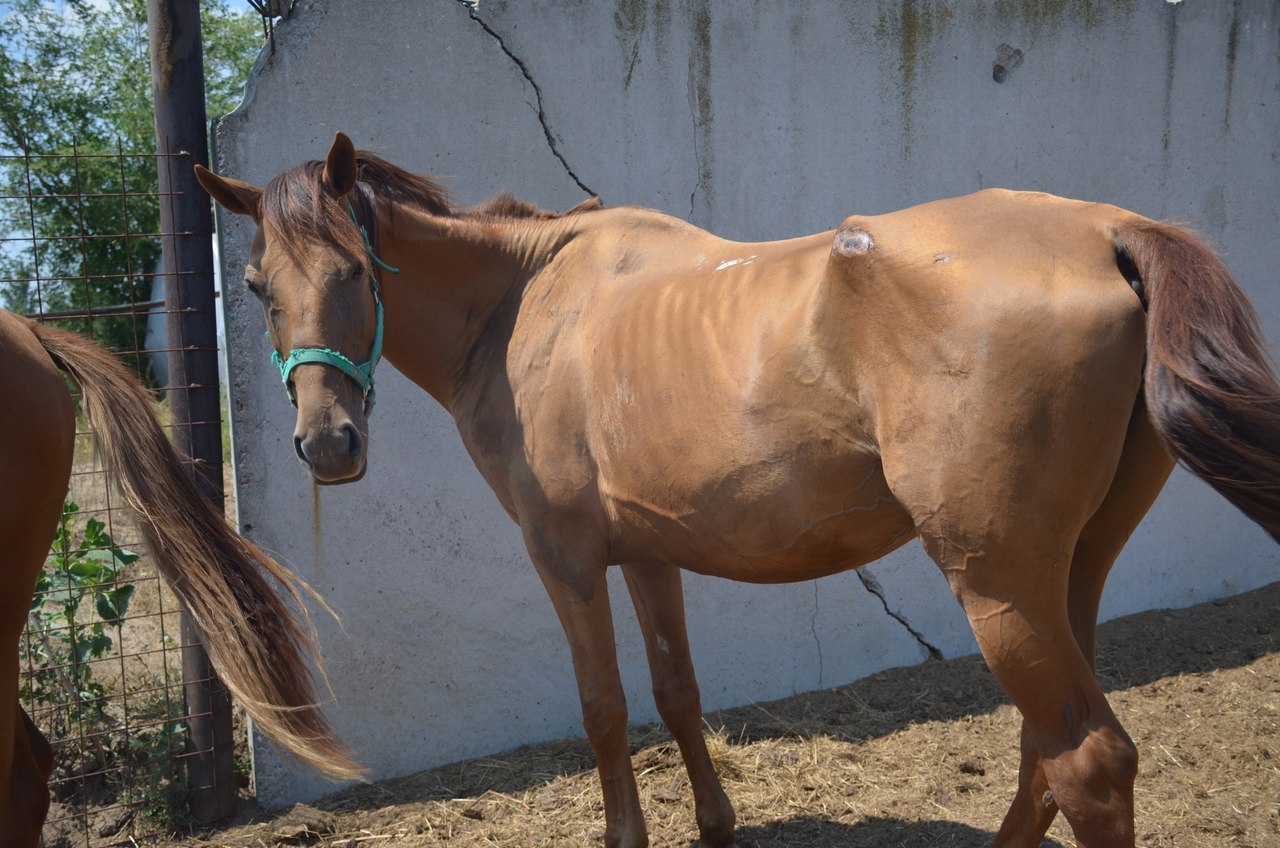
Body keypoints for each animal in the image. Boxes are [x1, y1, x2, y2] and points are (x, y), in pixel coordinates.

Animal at [194, 133, 1274, 848]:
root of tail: (1105, 230)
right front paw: (713, 824)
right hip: (1069, 572)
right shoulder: (646, 552)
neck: (526, 303)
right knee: (1044, 751)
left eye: (354, 269)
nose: (327, 443)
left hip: (999, 587)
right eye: (254, 287)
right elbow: (676, 692)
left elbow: (602, 704)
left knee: (1085, 763)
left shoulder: (565, 556)